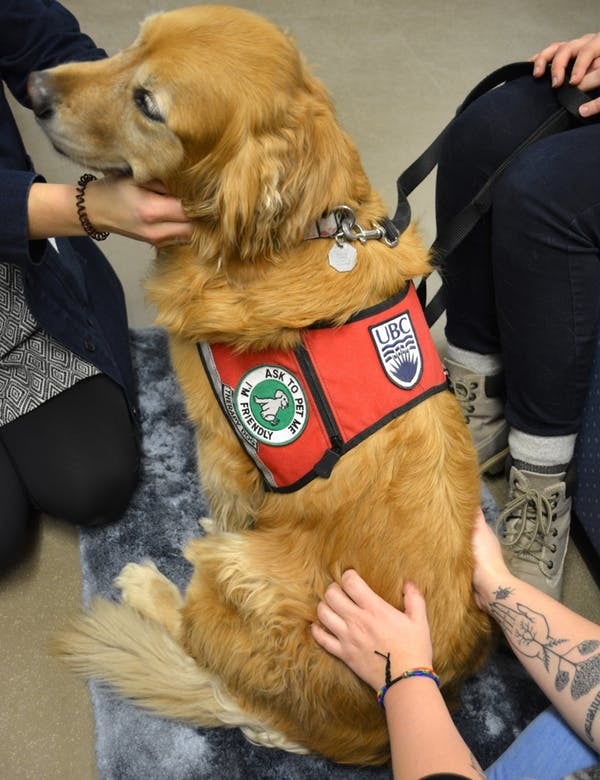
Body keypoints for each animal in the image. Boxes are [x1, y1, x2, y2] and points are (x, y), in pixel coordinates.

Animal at [29, 3, 492, 764]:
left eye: (149, 104)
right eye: (132, 42)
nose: (34, 89)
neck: (298, 235)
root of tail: (365, 735)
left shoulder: (222, 444)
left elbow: (228, 504)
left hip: (249, 573)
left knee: (199, 627)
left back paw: (155, 584)